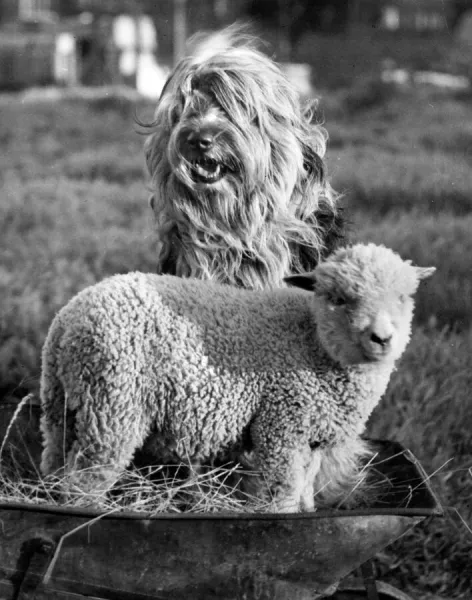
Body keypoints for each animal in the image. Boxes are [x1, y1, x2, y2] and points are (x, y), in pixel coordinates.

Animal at [40, 244, 436, 510]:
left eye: (404, 297)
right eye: (337, 299)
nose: (382, 338)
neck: (313, 341)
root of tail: (69, 317)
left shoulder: (314, 438)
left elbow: (306, 487)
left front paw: (308, 514)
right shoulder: (281, 425)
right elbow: (284, 490)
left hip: (63, 402)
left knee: (55, 459)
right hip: (113, 407)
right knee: (85, 480)